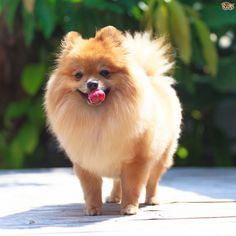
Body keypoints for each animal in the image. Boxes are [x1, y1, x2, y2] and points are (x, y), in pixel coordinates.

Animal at [44, 25, 183, 216]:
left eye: (104, 72)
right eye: (78, 75)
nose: (92, 84)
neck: (99, 118)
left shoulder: (135, 161)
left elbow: (132, 186)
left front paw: (129, 207)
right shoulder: (85, 162)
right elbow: (91, 189)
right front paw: (93, 208)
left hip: (162, 155)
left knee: (152, 180)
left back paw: (152, 199)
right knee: (118, 181)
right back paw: (115, 197)